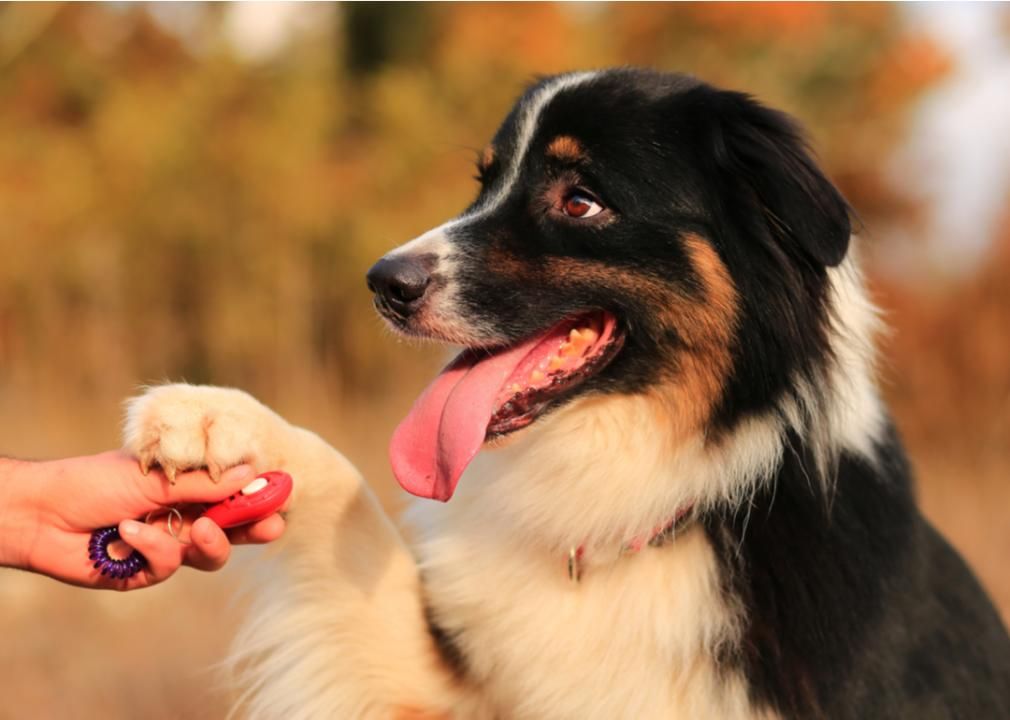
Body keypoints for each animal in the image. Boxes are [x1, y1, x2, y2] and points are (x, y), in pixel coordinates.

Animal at [124, 68, 1010, 718]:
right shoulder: (454, 689)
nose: (383, 283)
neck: (635, 507)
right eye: (482, 183)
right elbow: (352, 502)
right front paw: (207, 414)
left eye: (579, 198)